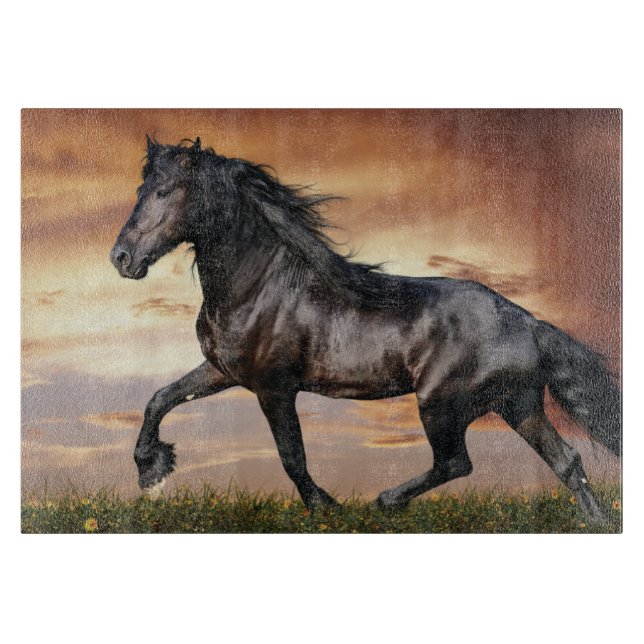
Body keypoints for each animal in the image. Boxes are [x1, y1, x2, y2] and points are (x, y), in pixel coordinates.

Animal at [110, 136, 620, 522]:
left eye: (165, 190)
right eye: (140, 188)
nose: (121, 258)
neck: (260, 285)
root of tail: (528, 322)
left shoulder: (274, 388)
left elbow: (292, 457)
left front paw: (326, 507)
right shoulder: (223, 371)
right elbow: (160, 399)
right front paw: (152, 470)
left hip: (442, 404)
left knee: (457, 462)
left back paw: (384, 500)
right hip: (518, 404)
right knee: (567, 462)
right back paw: (594, 523)